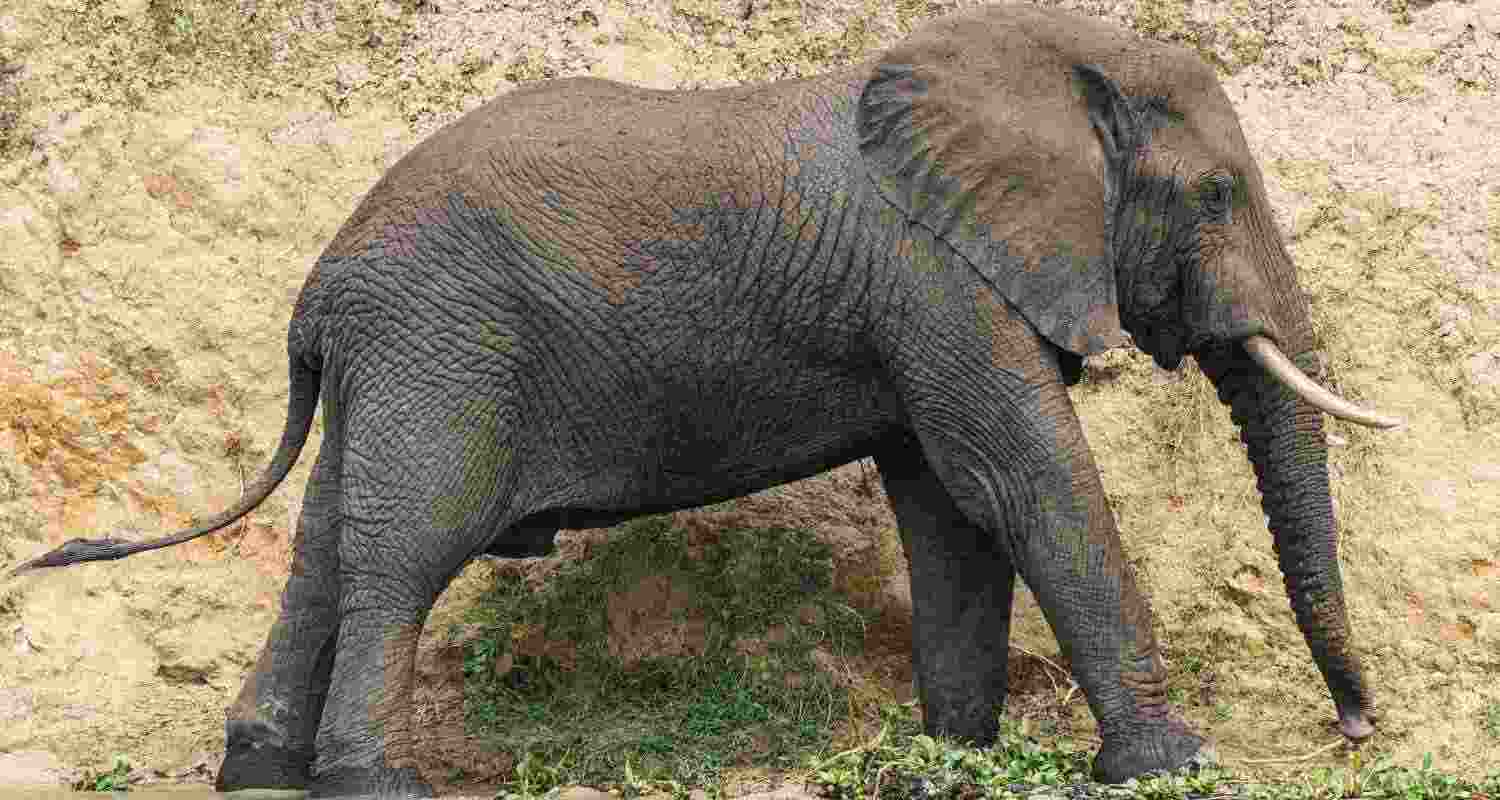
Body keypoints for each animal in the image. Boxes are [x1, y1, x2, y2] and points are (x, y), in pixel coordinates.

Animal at [9, 2, 1401, 794]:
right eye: (1216, 194)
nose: (1354, 724)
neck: (1052, 59)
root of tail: (315, 290)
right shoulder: (934, 276)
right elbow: (1017, 477)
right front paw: (1173, 764)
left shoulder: (919, 299)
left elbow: (950, 507)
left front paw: (952, 761)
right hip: (440, 346)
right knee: (403, 550)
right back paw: (379, 785)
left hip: (393, 363)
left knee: (320, 549)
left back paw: (259, 772)